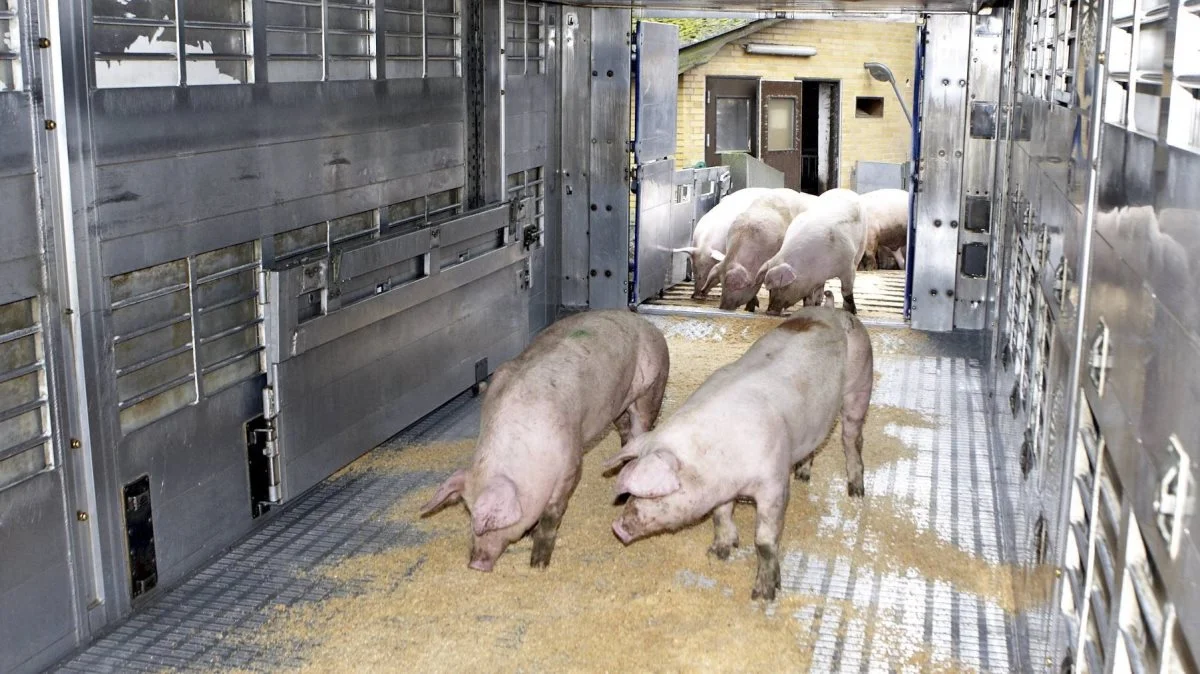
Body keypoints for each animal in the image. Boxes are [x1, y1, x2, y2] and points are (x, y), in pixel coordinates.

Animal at [420, 309, 667, 566]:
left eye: (489, 522)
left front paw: (538, 564)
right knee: (625, 432)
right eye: (468, 512)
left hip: (653, 386)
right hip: (618, 405)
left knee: (641, 427)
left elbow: (553, 512)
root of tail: (645, 323)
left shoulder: (571, 461)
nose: (476, 563)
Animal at [600, 305, 873, 597]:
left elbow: (764, 538)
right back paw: (803, 475)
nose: (617, 527)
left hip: (860, 386)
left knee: (852, 438)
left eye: (655, 494)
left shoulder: (774, 484)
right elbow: (720, 515)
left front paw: (763, 594)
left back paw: (856, 491)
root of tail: (835, 311)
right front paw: (719, 552)